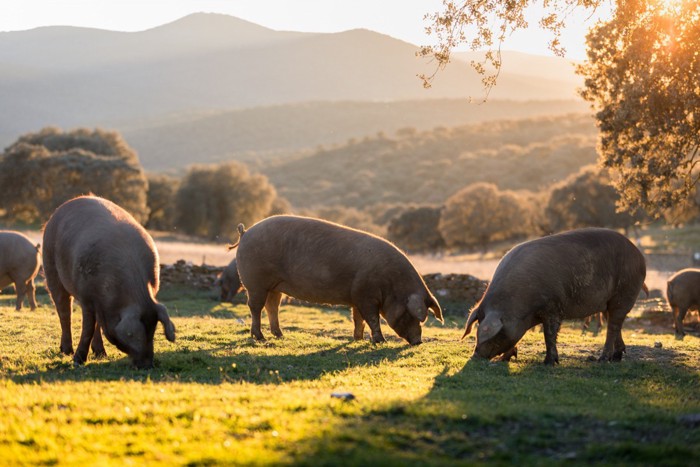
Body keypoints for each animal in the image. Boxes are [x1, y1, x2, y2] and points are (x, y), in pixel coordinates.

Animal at [42, 195, 176, 370]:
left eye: (152, 331)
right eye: (137, 335)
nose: (147, 365)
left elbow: (95, 325)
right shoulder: (87, 297)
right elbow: (87, 328)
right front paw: (77, 361)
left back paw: (101, 354)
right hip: (50, 266)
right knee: (64, 311)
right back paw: (67, 351)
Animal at [235, 216, 442, 344]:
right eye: (410, 314)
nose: (418, 342)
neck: (391, 285)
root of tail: (245, 233)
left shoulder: (357, 296)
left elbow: (358, 319)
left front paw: (358, 339)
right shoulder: (366, 295)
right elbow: (372, 318)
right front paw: (380, 341)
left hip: (274, 286)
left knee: (272, 307)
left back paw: (280, 335)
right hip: (255, 282)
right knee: (255, 307)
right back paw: (260, 337)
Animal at [462, 229, 648, 364]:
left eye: (495, 334)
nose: (475, 356)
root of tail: (639, 255)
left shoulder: (553, 307)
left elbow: (549, 334)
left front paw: (549, 362)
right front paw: (504, 359)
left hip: (624, 292)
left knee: (613, 326)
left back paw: (602, 360)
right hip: (608, 302)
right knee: (614, 323)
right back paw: (616, 357)